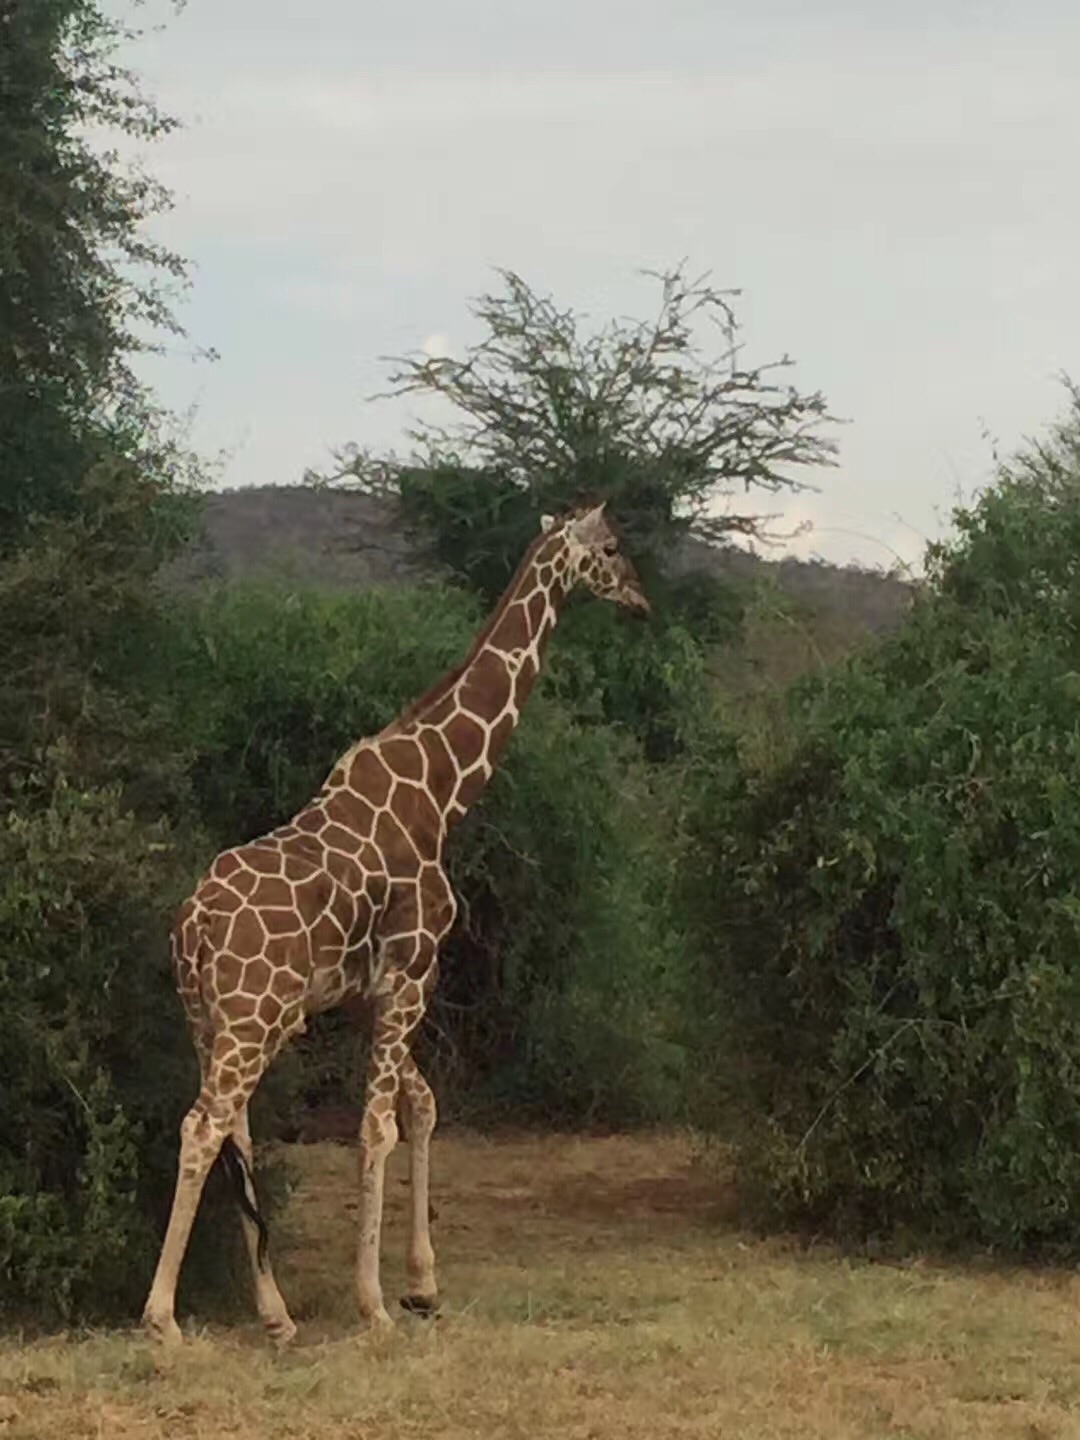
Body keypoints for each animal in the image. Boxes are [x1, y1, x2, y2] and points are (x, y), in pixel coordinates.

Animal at [141, 501, 650, 1342]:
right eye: (611, 548)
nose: (641, 599)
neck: (442, 791)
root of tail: (194, 928)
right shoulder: (411, 975)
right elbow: (377, 1126)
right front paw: (375, 1303)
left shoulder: (367, 994)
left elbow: (421, 1105)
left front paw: (422, 1284)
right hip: (251, 1019)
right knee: (202, 1126)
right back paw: (162, 1319)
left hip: (208, 1018)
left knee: (233, 1127)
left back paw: (276, 1314)